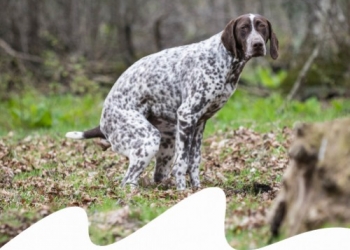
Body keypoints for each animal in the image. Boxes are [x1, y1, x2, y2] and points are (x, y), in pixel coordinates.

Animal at [65, 13, 278, 189]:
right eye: (243, 28)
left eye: (262, 27)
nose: (257, 44)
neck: (224, 60)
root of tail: (103, 122)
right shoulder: (187, 115)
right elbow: (182, 164)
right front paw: (182, 193)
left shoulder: (199, 123)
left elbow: (194, 162)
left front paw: (196, 190)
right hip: (148, 140)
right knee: (127, 181)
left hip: (167, 143)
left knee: (156, 176)